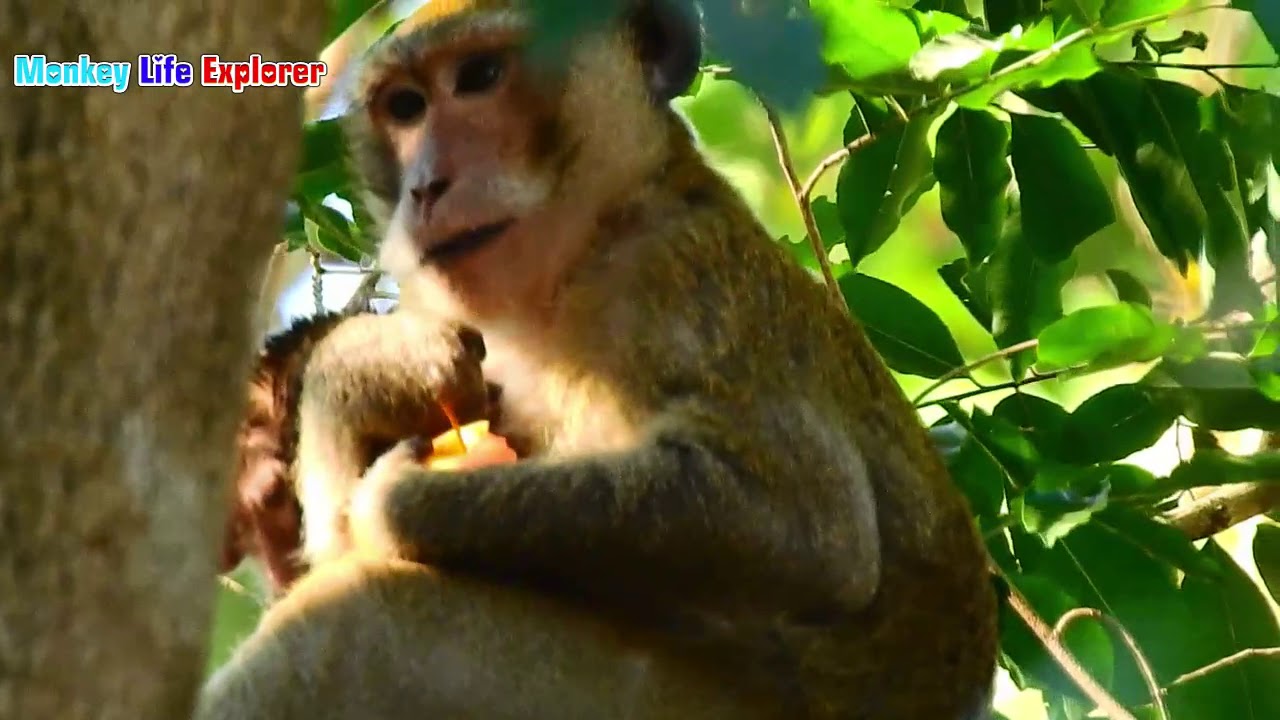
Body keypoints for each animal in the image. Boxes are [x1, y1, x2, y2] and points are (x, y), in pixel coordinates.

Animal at [194, 1, 999, 718]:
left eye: (479, 76)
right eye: (406, 105)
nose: (424, 186)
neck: (587, 246)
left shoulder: (677, 275)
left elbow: (808, 534)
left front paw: (392, 494)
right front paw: (368, 369)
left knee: (355, 622)